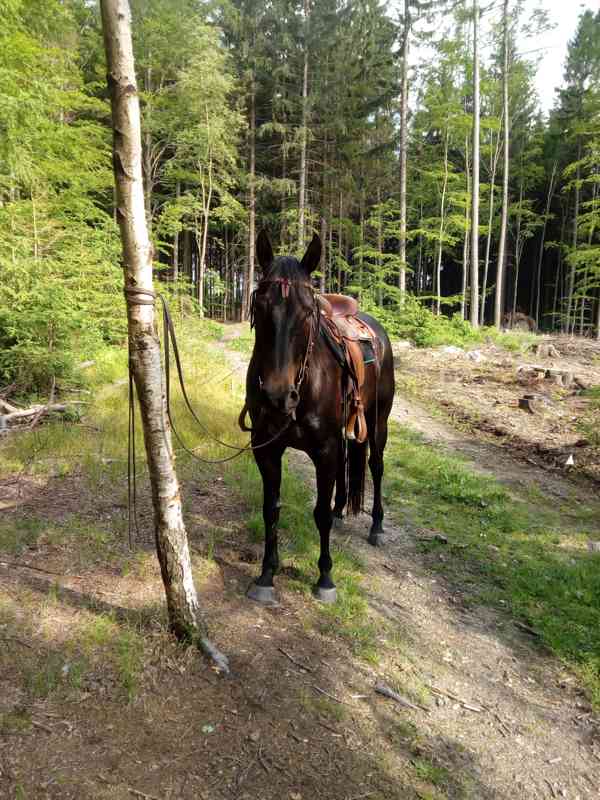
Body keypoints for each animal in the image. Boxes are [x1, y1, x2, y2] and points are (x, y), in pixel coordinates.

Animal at [239, 231, 394, 608]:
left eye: (308, 313)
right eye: (259, 306)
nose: (277, 396)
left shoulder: (324, 450)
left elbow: (319, 513)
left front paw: (325, 578)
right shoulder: (265, 448)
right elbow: (271, 508)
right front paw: (267, 575)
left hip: (377, 422)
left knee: (376, 466)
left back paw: (377, 526)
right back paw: (342, 509)